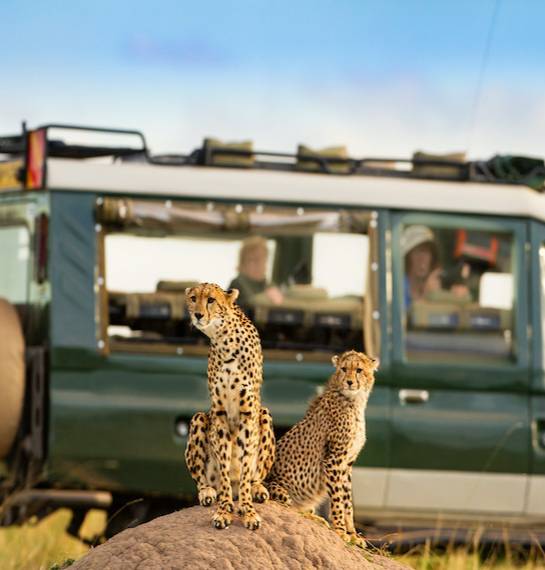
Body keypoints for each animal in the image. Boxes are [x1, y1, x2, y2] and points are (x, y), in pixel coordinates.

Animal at [184, 282, 276, 528]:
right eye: (194, 298)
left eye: (211, 300)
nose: (197, 315)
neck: (224, 340)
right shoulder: (220, 414)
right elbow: (224, 467)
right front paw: (224, 510)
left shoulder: (247, 414)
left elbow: (244, 470)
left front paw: (248, 511)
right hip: (199, 418)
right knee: (203, 479)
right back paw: (207, 492)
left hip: (264, 414)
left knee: (254, 476)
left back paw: (257, 489)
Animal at [264, 348, 378, 544]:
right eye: (343, 369)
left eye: (359, 370)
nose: (349, 382)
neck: (354, 401)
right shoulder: (333, 460)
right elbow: (338, 499)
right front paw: (341, 531)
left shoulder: (347, 464)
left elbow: (347, 502)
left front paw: (353, 534)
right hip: (279, 490)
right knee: (291, 509)